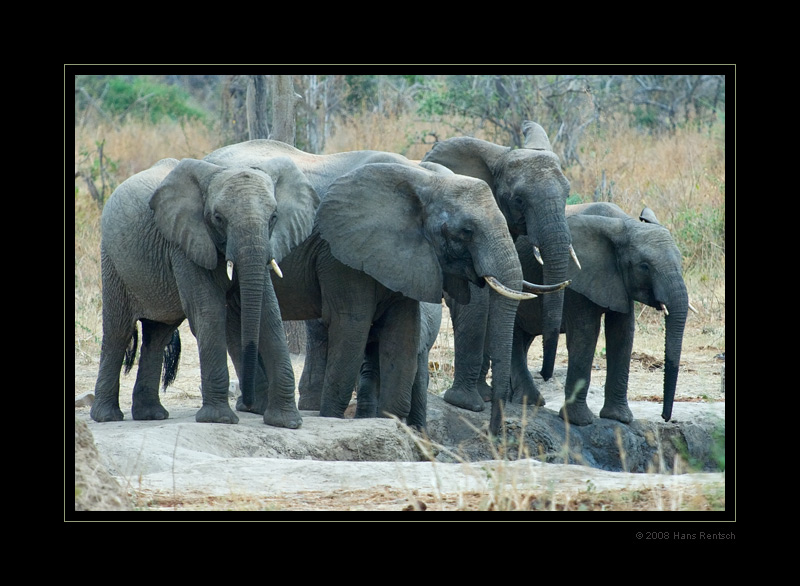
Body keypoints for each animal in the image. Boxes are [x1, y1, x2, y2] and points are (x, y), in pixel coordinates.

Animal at [89, 153, 320, 424]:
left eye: (274, 217)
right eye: (218, 218)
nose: (248, 403)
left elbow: (269, 313)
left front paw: (287, 422)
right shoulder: (183, 245)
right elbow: (208, 312)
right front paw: (219, 419)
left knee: (158, 336)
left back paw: (151, 415)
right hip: (112, 263)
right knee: (118, 332)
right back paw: (107, 417)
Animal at [422, 120, 580, 410]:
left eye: (567, 194)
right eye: (519, 200)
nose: (545, 373)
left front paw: (485, 395)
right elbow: (477, 301)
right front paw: (467, 403)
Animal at [510, 201, 692, 424]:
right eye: (644, 267)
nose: (665, 417)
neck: (624, 225)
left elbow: (622, 333)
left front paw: (619, 419)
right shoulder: (578, 276)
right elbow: (586, 333)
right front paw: (580, 422)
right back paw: (528, 401)